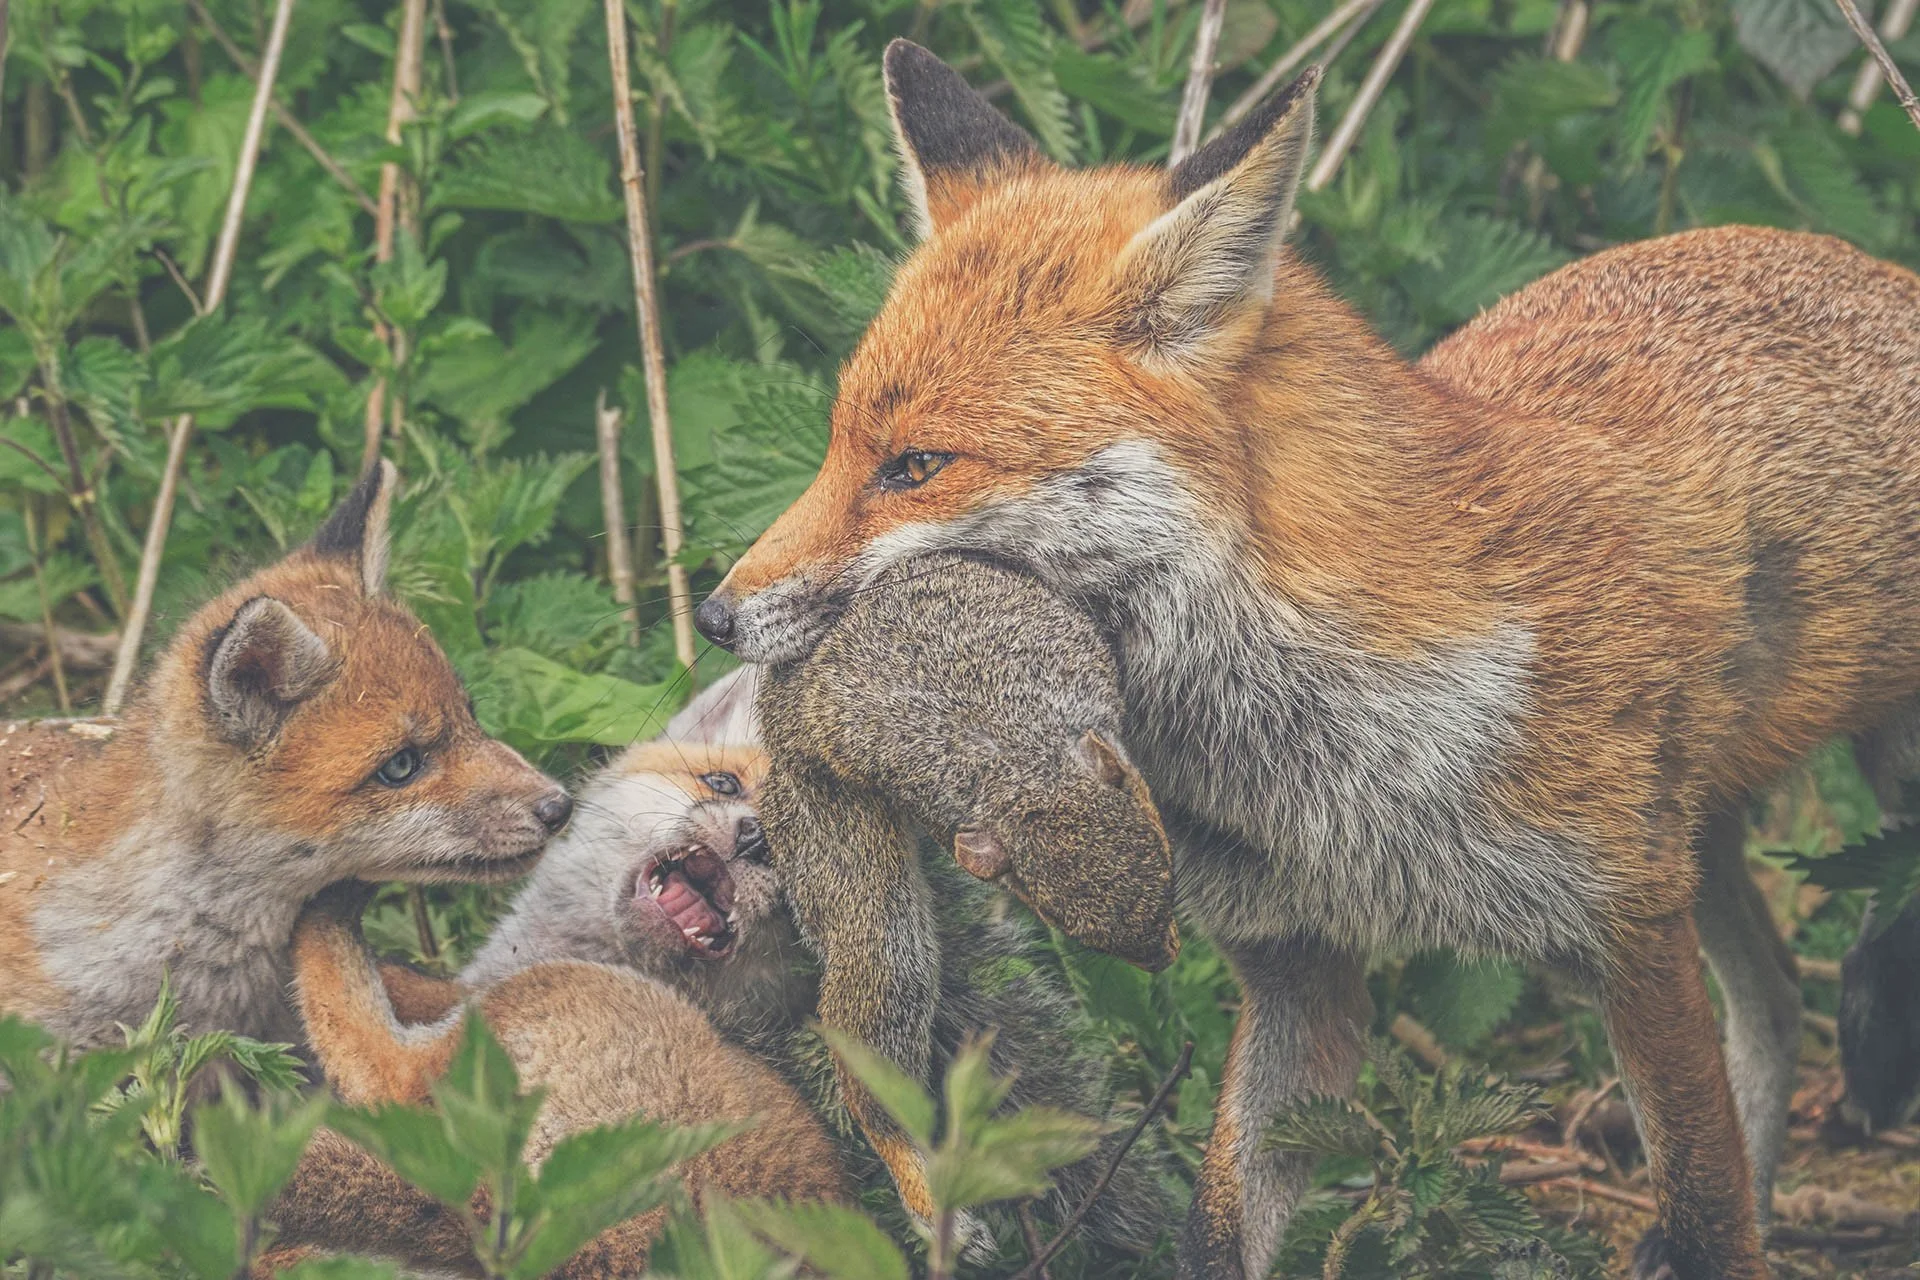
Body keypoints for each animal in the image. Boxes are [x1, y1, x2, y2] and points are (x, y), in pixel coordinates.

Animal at [687, 40, 1920, 1280]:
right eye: (836, 443)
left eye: (916, 465)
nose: (712, 615)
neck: (1325, 765)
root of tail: (1857, 261)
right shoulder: (1294, 962)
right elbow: (1221, 1225)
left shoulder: (1629, 925)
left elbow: (1707, 1202)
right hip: (1701, 845)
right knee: (1776, 1000)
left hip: (1841, 792)